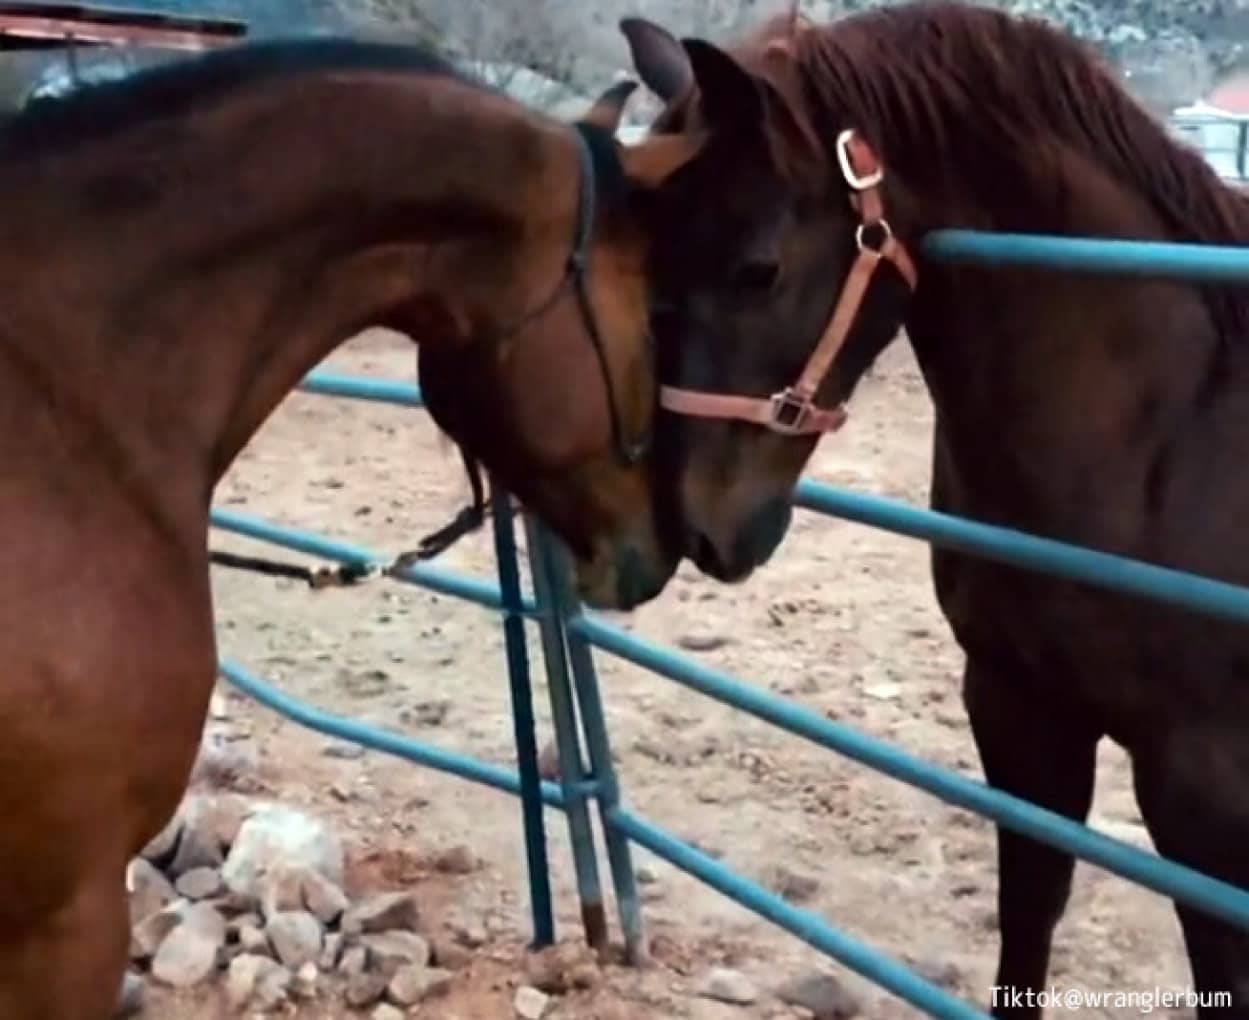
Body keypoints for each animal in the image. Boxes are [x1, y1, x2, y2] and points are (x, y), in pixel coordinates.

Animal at [617, 3, 1249, 1013]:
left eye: (758, 270)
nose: (694, 524)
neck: (1171, 430)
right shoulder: (1016, 711)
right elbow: (1027, 918)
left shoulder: (1200, 782)